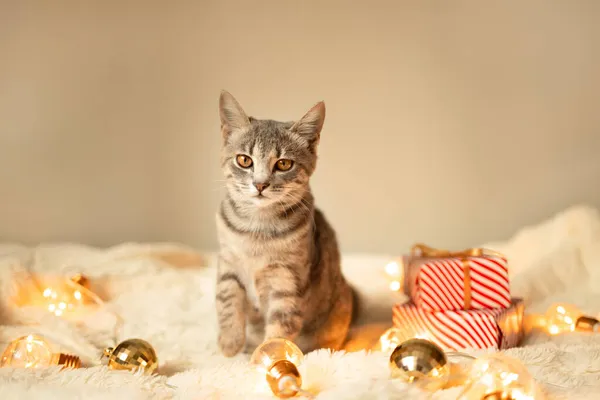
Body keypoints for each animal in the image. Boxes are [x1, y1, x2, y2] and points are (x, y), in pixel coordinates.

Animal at [216, 91, 356, 356]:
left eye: (283, 164)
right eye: (244, 160)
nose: (260, 184)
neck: (256, 230)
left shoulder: (287, 281)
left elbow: (280, 327)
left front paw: (269, 356)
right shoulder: (228, 263)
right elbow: (227, 301)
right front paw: (230, 343)